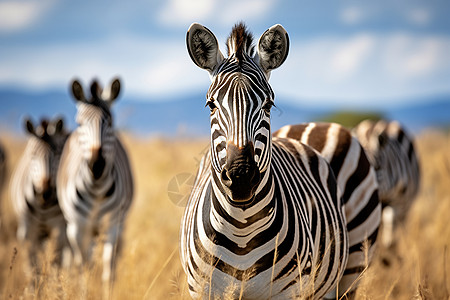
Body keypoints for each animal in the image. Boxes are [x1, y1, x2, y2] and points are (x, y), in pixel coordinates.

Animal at [9, 116, 69, 270]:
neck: (43, 207)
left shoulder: (59, 228)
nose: (45, 193)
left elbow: (55, 262)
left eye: (57, 154)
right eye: (32, 155)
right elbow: (32, 265)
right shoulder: (27, 230)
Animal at [57, 77, 134, 292]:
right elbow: (83, 265)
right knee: (82, 259)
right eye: (80, 123)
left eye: (110, 122)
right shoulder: (76, 226)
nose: (97, 165)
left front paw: (107, 293)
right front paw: (83, 291)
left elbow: (109, 267)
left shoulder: (113, 223)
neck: (97, 188)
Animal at [181, 22, 350, 298]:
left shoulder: (289, 291)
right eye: (211, 105)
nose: (241, 177)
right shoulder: (203, 290)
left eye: (268, 105)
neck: (241, 231)